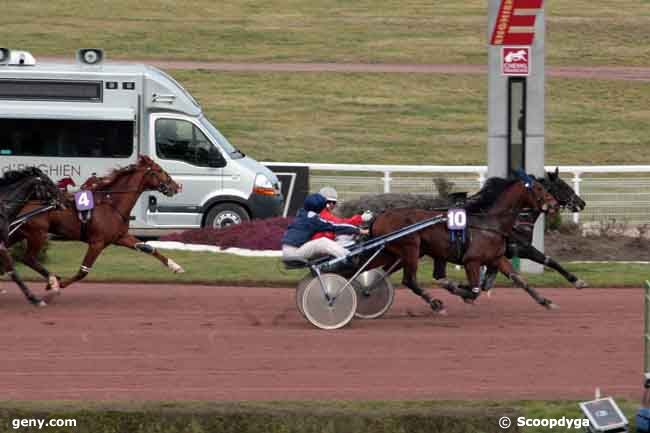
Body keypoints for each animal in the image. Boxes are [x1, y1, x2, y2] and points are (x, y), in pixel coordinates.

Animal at [9, 155, 182, 300]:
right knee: (28, 258)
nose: (176, 186)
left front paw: (175, 266)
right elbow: (83, 271)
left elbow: (148, 248)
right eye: (159, 170)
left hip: (20, 233)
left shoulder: (120, 237)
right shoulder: (97, 243)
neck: (111, 204)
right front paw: (57, 284)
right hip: (38, 234)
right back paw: (53, 280)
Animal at [368, 177, 556, 312]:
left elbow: (520, 280)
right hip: (410, 249)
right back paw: (435, 303)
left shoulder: (497, 258)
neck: (491, 224)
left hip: (398, 254)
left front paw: (546, 301)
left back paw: (369, 290)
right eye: (539, 188)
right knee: (409, 280)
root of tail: (380, 216)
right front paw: (460, 289)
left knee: (382, 272)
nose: (554, 204)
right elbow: (474, 290)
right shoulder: (472, 261)